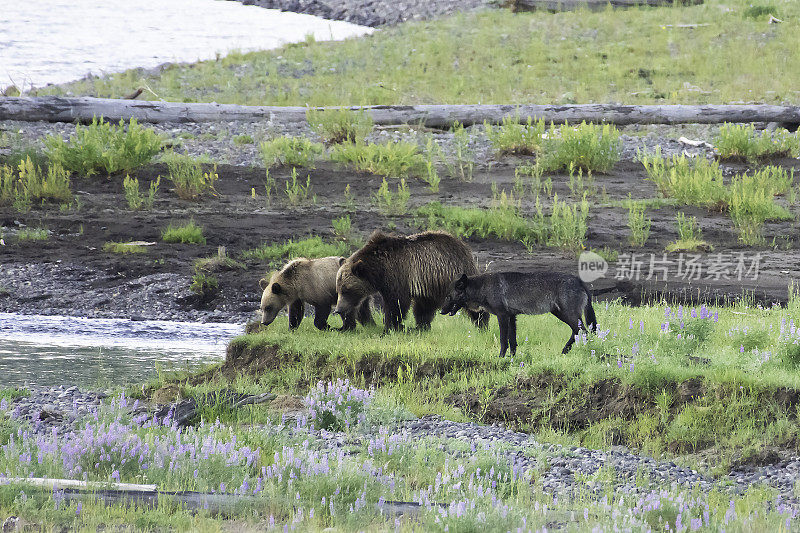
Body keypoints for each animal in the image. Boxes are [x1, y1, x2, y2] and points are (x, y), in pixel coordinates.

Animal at [334, 231, 490, 330]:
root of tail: (463, 246)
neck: (379, 269)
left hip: (455, 275)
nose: (338, 309)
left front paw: (390, 326)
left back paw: (482, 324)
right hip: (431, 285)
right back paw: (421, 326)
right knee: (424, 307)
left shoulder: (398, 276)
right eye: (338, 289)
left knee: (473, 303)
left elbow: (396, 304)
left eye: (346, 289)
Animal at [440, 272, 596, 356]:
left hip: (568, 316)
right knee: (578, 332)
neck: (483, 287)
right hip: (562, 315)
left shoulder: (502, 316)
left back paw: (586, 350)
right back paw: (565, 351)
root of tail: (579, 281)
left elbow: (503, 340)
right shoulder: (511, 317)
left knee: (584, 332)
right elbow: (512, 341)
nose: (441, 311)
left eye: (448, 297)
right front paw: (512, 358)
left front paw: (500, 357)